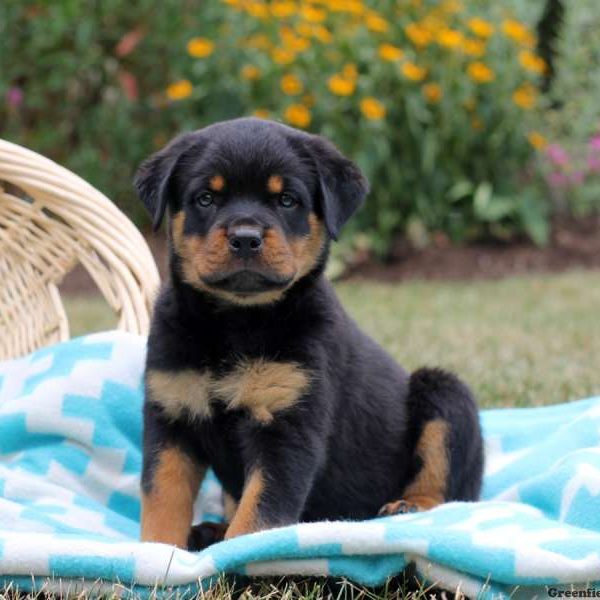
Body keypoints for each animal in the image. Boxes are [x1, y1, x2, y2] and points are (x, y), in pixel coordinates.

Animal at [136, 115, 482, 552]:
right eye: (205, 199)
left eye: (287, 200)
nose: (245, 237)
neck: (236, 322)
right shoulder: (171, 416)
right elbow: (162, 499)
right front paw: (155, 553)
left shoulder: (288, 424)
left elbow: (259, 512)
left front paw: (237, 555)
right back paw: (209, 531)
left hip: (445, 393)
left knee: (446, 491)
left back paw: (408, 507)